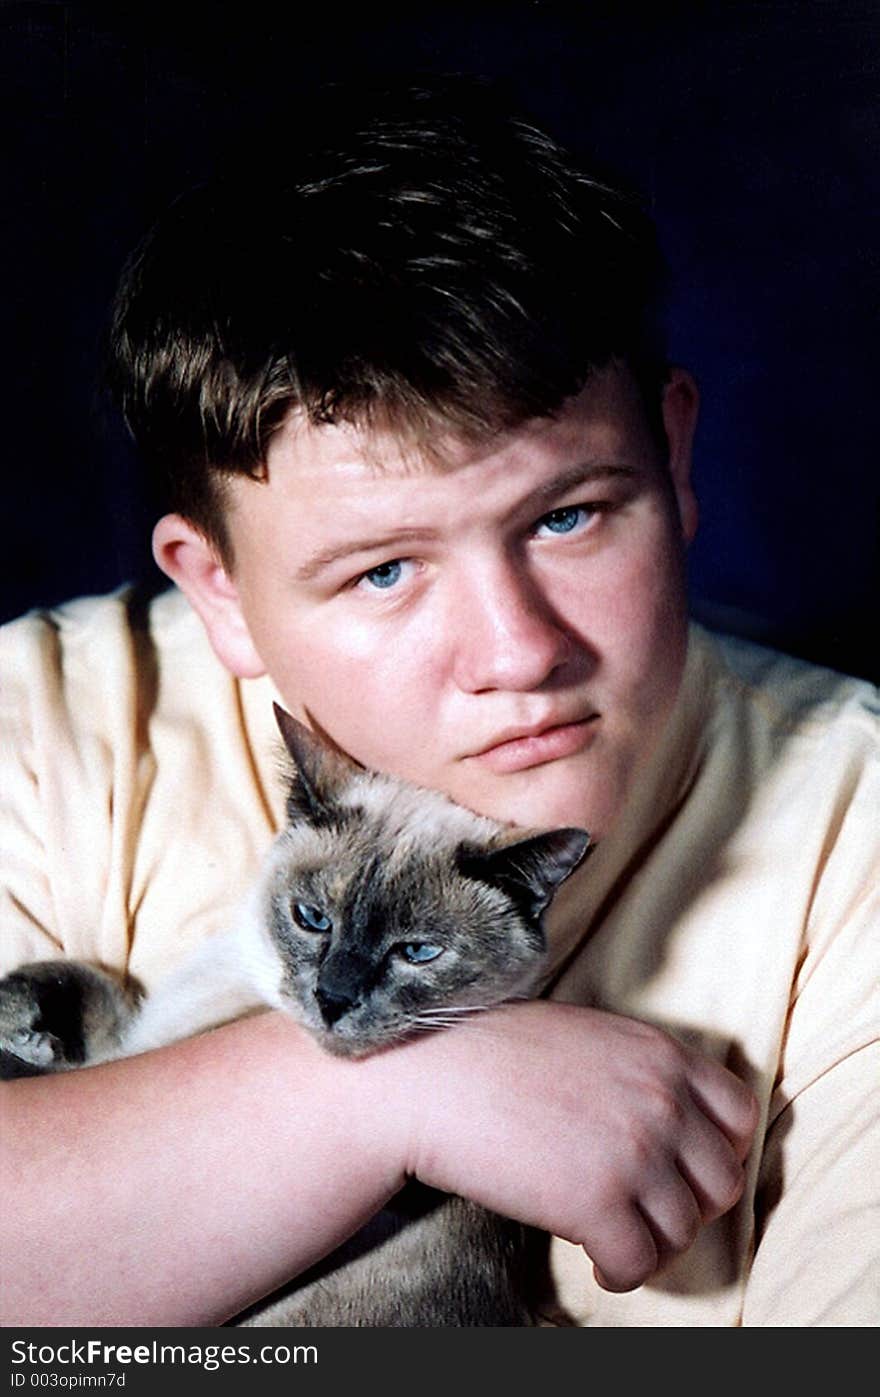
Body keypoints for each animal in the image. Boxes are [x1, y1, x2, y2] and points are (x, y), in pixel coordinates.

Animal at [1, 704, 592, 1324]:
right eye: (312, 918)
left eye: (416, 952)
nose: (333, 998)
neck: (241, 972)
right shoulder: (131, 1034)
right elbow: (84, 980)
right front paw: (24, 1019)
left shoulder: (134, 1058)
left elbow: (45, 1062)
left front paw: (24, 1045)